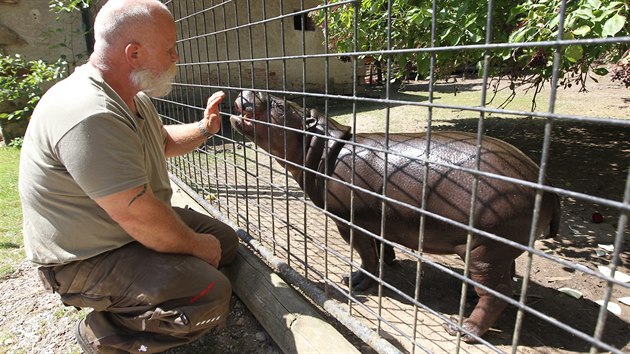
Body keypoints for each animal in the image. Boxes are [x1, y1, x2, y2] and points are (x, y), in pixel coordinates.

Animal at [228, 90, 564, 342]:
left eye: (279, 105)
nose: (248, 91)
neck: (319, 145)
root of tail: (545, 181)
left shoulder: (350, 222)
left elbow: (366, 256)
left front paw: (354, 281)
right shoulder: (380, 219)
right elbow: (382, 246)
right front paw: (389, 262)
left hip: (484, 249)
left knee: (499, 292)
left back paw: (461, 330)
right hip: (497, 249)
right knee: (506, 278)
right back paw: (467, 299)